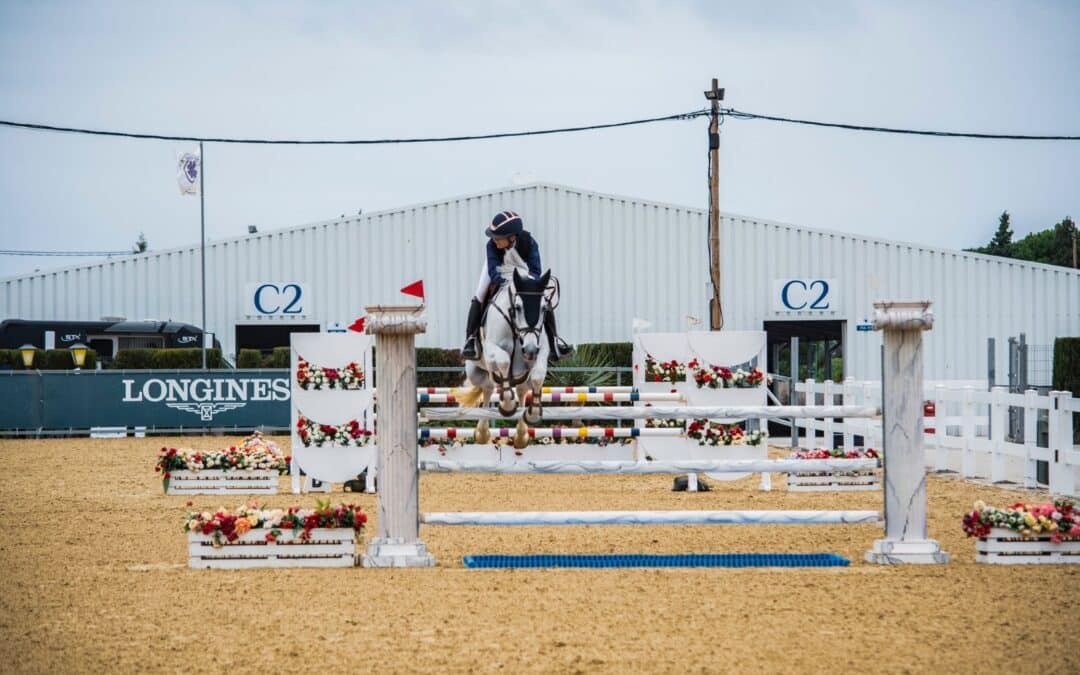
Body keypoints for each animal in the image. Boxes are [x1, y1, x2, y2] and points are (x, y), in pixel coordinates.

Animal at [457, 266, 557, 447]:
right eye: (517, 307)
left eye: (544, 309)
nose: (530, 350)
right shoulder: (491, 348)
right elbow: (503, 360)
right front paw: (508, 405)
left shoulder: (541, 351)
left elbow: (538, 376)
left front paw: (533, 414)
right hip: (475, 372)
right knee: (488, 387)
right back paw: (482, 432)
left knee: (521, 390)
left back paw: (521, 435)